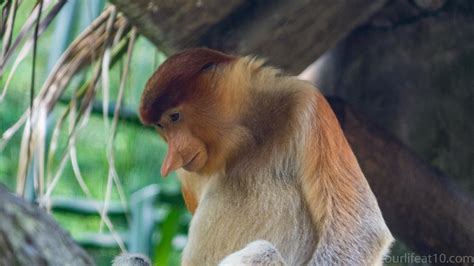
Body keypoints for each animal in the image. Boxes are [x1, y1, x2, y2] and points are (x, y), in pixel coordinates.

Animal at [137, 46, 392, 264]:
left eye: (175, 117)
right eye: (160, 126)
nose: (170, 161)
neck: (245, 137)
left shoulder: (305, 103)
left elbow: (362, 229)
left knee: (262, 251)